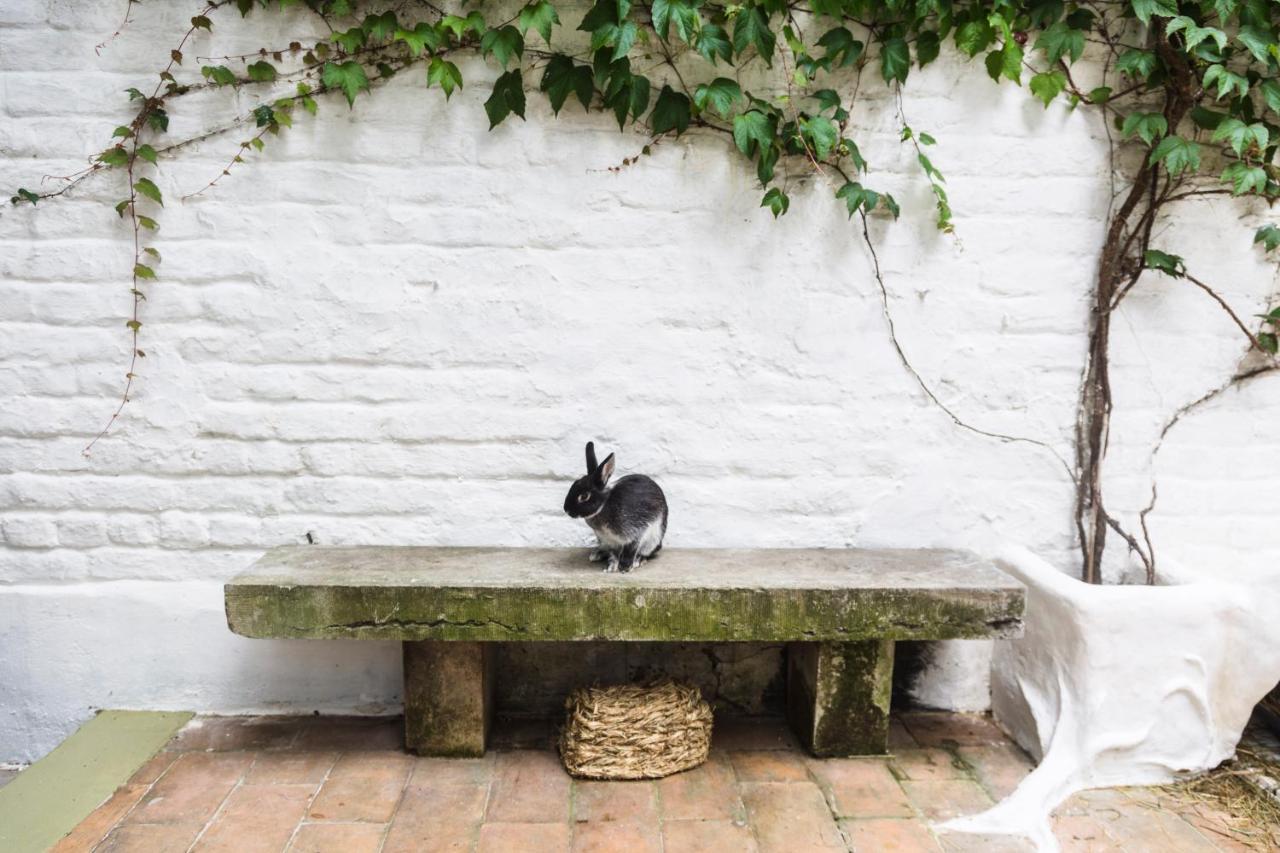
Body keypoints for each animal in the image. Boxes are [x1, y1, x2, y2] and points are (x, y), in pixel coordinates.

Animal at [563, 441, 668, 573]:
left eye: (584, 496)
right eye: (573, 484)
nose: (566, 509)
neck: (604, 505)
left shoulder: (636, 533)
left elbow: (630, 550)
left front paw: (625, 567)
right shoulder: (610, 541)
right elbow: (613, 555)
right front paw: (611, 567)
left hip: (653, 539)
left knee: (648, 552)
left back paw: (638, 560)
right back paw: (596, 554)